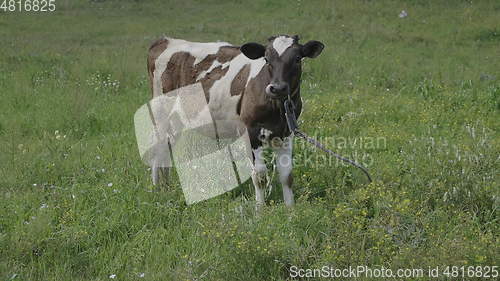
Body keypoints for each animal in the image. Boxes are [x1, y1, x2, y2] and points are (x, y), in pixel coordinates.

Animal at [146, 35, 324, 206]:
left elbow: (287, 175)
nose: (278, 88)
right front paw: (260, 209)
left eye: (297, 58)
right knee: (158, 150)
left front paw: (290, 208)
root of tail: (165, 40)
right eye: (266, 59)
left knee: (166, 149)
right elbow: (259, 175)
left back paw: (167, 186)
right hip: (161, 113)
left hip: (176, 121)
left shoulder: (286, 133)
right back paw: (157, 189)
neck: (277, 108)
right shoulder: (251, 132)